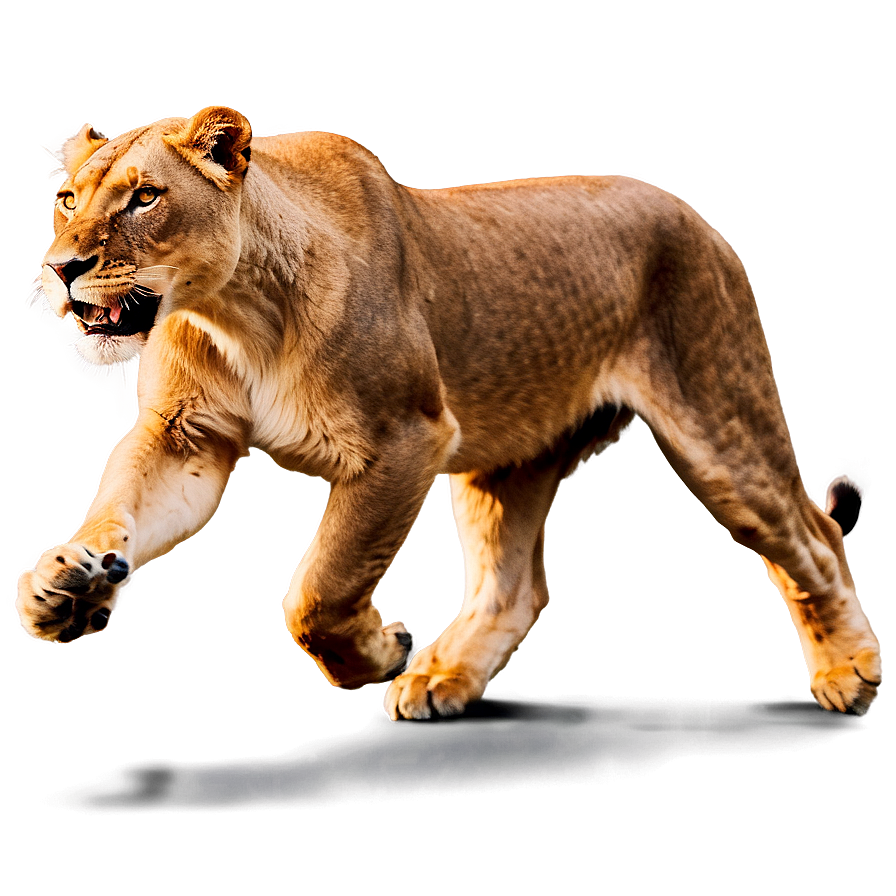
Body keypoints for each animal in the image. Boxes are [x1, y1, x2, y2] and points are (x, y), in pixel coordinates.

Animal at [17, 106, 881, 719]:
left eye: (145, 197)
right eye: (68, 198)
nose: (60, 268)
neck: (233, 313)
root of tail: (694, 213)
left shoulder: (408, 437)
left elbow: (321, 588)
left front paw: (375, 651)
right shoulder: (185, 437)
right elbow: (123, 504)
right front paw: (69, 583)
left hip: (719, 424)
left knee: (813, 538)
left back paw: (850, 670)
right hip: (510, 461)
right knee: (515, 588)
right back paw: (448, 674)